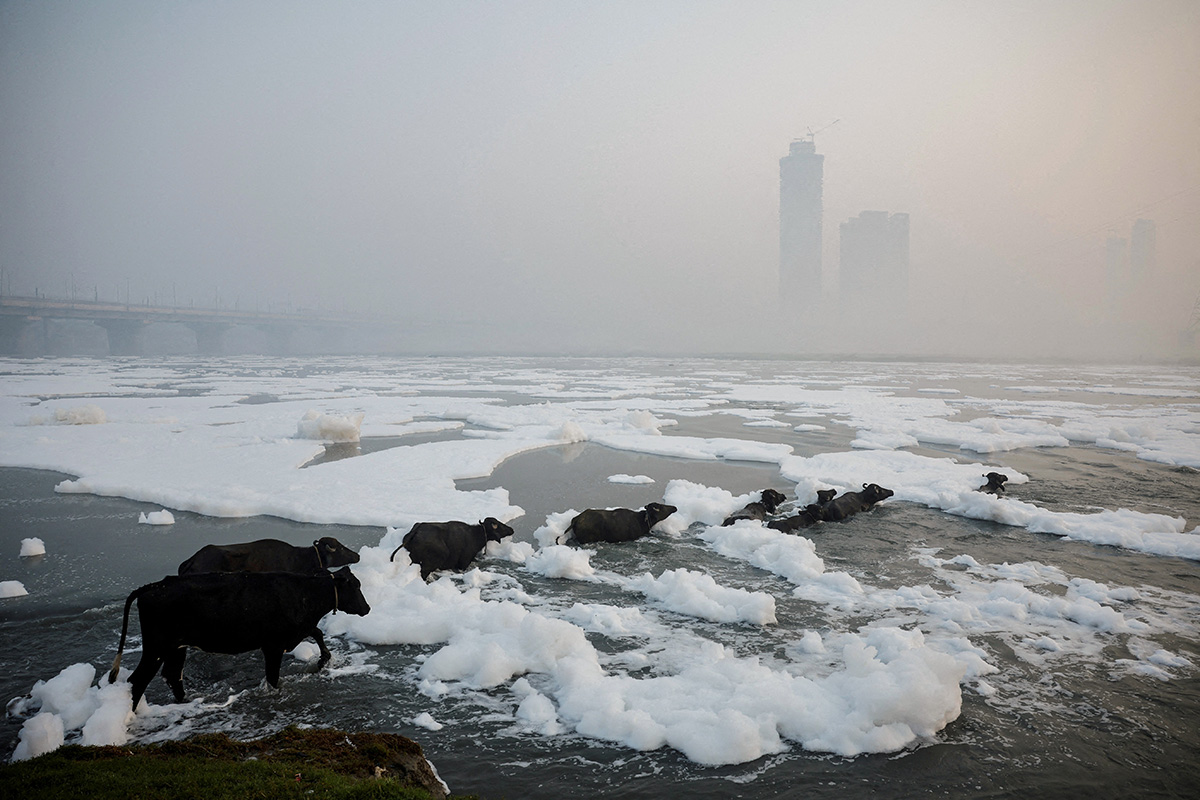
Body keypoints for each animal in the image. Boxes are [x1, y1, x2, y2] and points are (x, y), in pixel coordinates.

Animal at [108, 566, 369, 710]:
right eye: (355, 586)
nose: (367, 608)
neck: (305, 594)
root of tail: (155, 585)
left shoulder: (296, 631)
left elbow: (317, 632)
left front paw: (323, 660)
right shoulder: (273, 645)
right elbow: (273, 678)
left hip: (176, 647)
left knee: (173, 676)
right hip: (156, 647)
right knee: (138, 680)